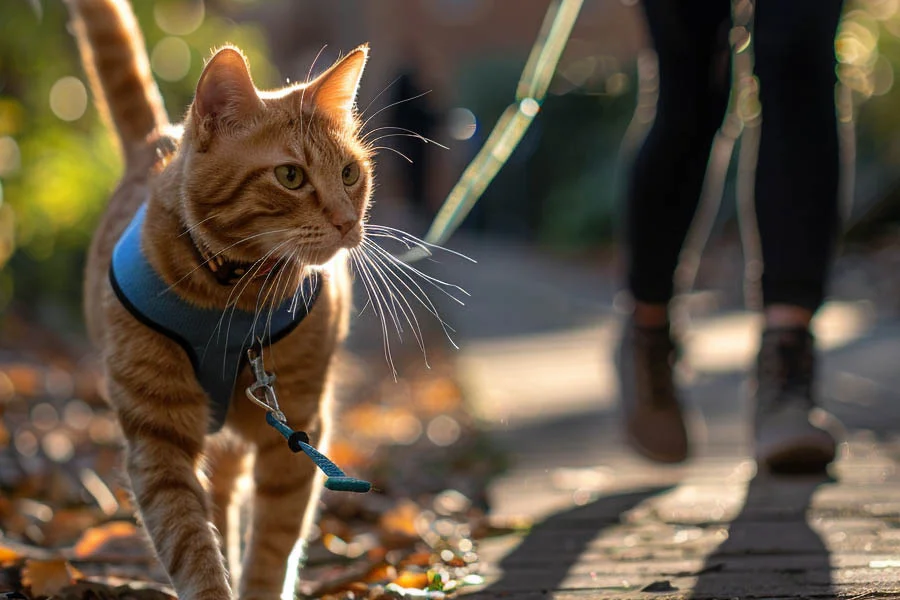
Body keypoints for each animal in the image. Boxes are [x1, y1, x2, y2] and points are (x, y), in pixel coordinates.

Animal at [65, 2, 370, 596]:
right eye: (290, 175)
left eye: (349, 173)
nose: (348, 222)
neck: (234, 295)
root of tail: (158, 137)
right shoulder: (158, 438)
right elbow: (188, 539)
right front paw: (212, 580)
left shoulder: (297, 430)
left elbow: (274, 545)